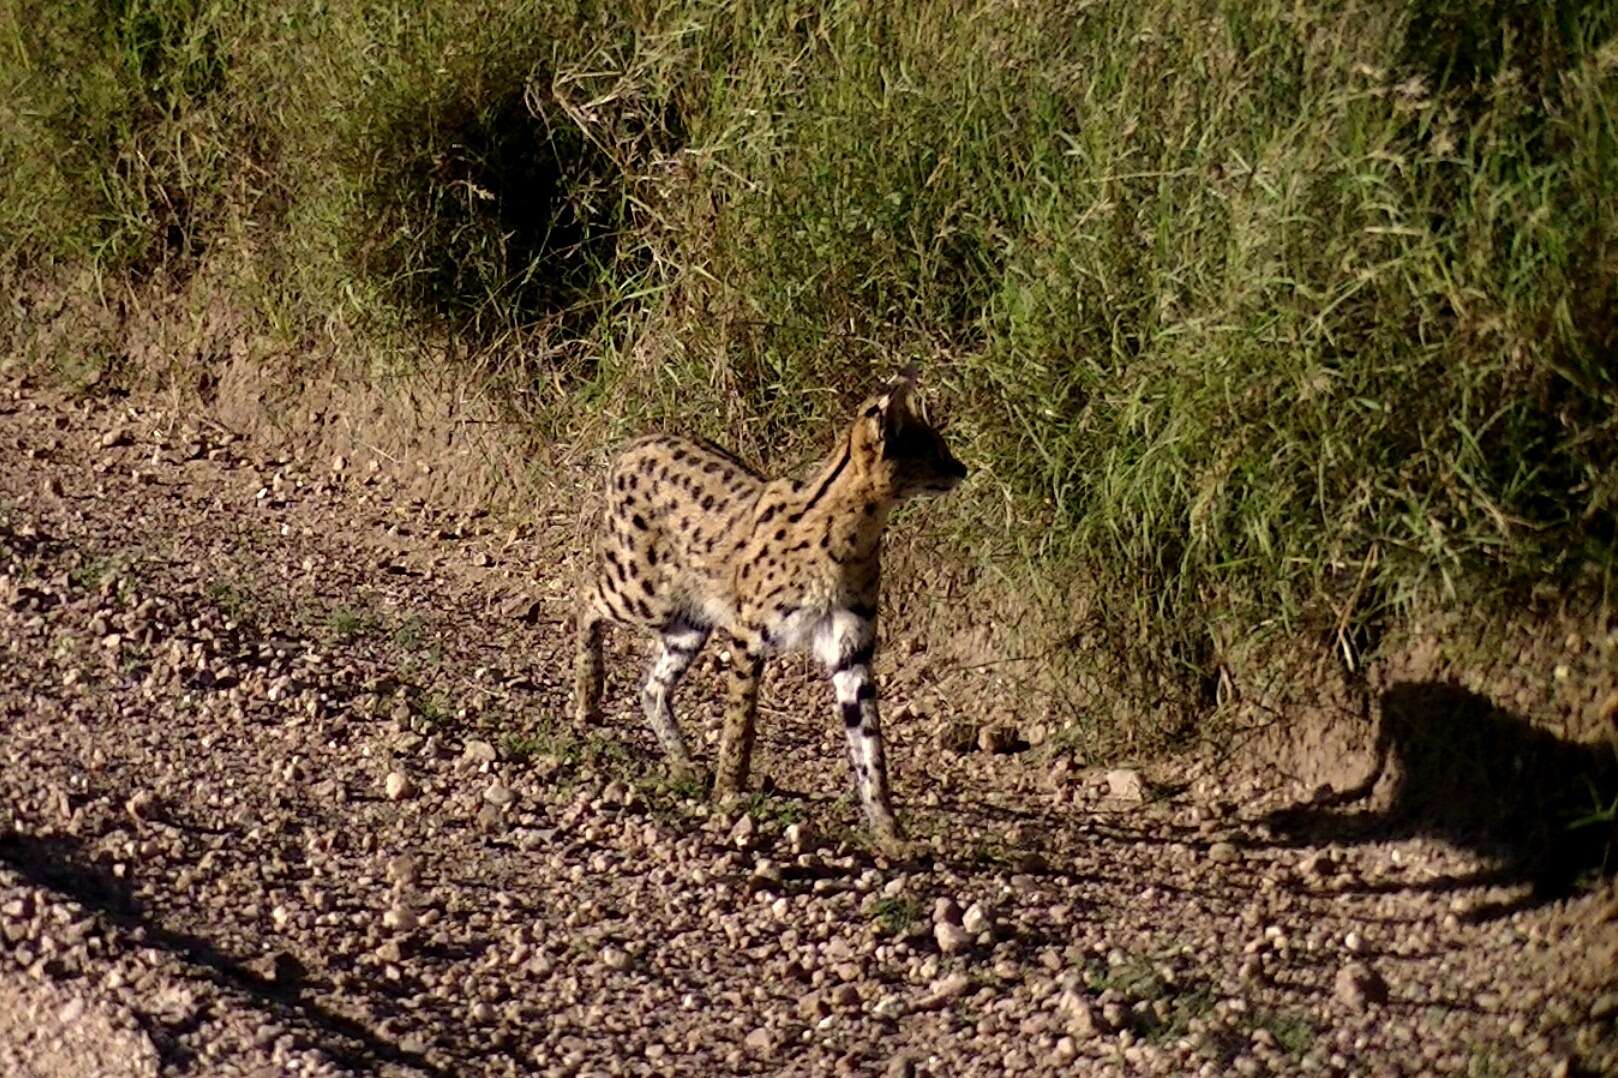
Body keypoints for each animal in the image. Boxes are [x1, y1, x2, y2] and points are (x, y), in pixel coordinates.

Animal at [576, 369, 964, 841]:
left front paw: (889, 831)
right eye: (935, 450)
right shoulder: (749, 636)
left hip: (692, 619)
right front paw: (729, 791)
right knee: (586, 599)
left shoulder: (851, 649)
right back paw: (587, 697)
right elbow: (741, 722)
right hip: (646, 591)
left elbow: (870, 746)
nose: (962, 469)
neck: (857, 532)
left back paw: (682, 761)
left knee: (651, 686)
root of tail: (639, 439)